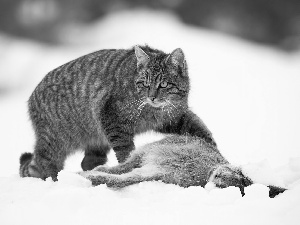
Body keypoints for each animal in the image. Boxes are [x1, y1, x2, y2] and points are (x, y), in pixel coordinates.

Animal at [19, 44, 216, 180]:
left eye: (164, 84)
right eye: (145, 84)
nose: (152, 97)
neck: (152, 109)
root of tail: (31, 98)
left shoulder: (175, 117)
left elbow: (200, 128)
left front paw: (209, 149)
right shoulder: (113, 120)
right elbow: (125, 151)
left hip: (97, 140)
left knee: (86, 162)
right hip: (55, 141)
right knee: (43, 163)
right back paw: (54, 179)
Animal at [79, 134, 286, 198]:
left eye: (238, 187)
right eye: (239, 176)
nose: (217, 180)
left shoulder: (155, 171)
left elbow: (125, 179)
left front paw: (92, 178)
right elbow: (122, 175)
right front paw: (89, 176)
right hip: (150, 150)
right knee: (124, 165)